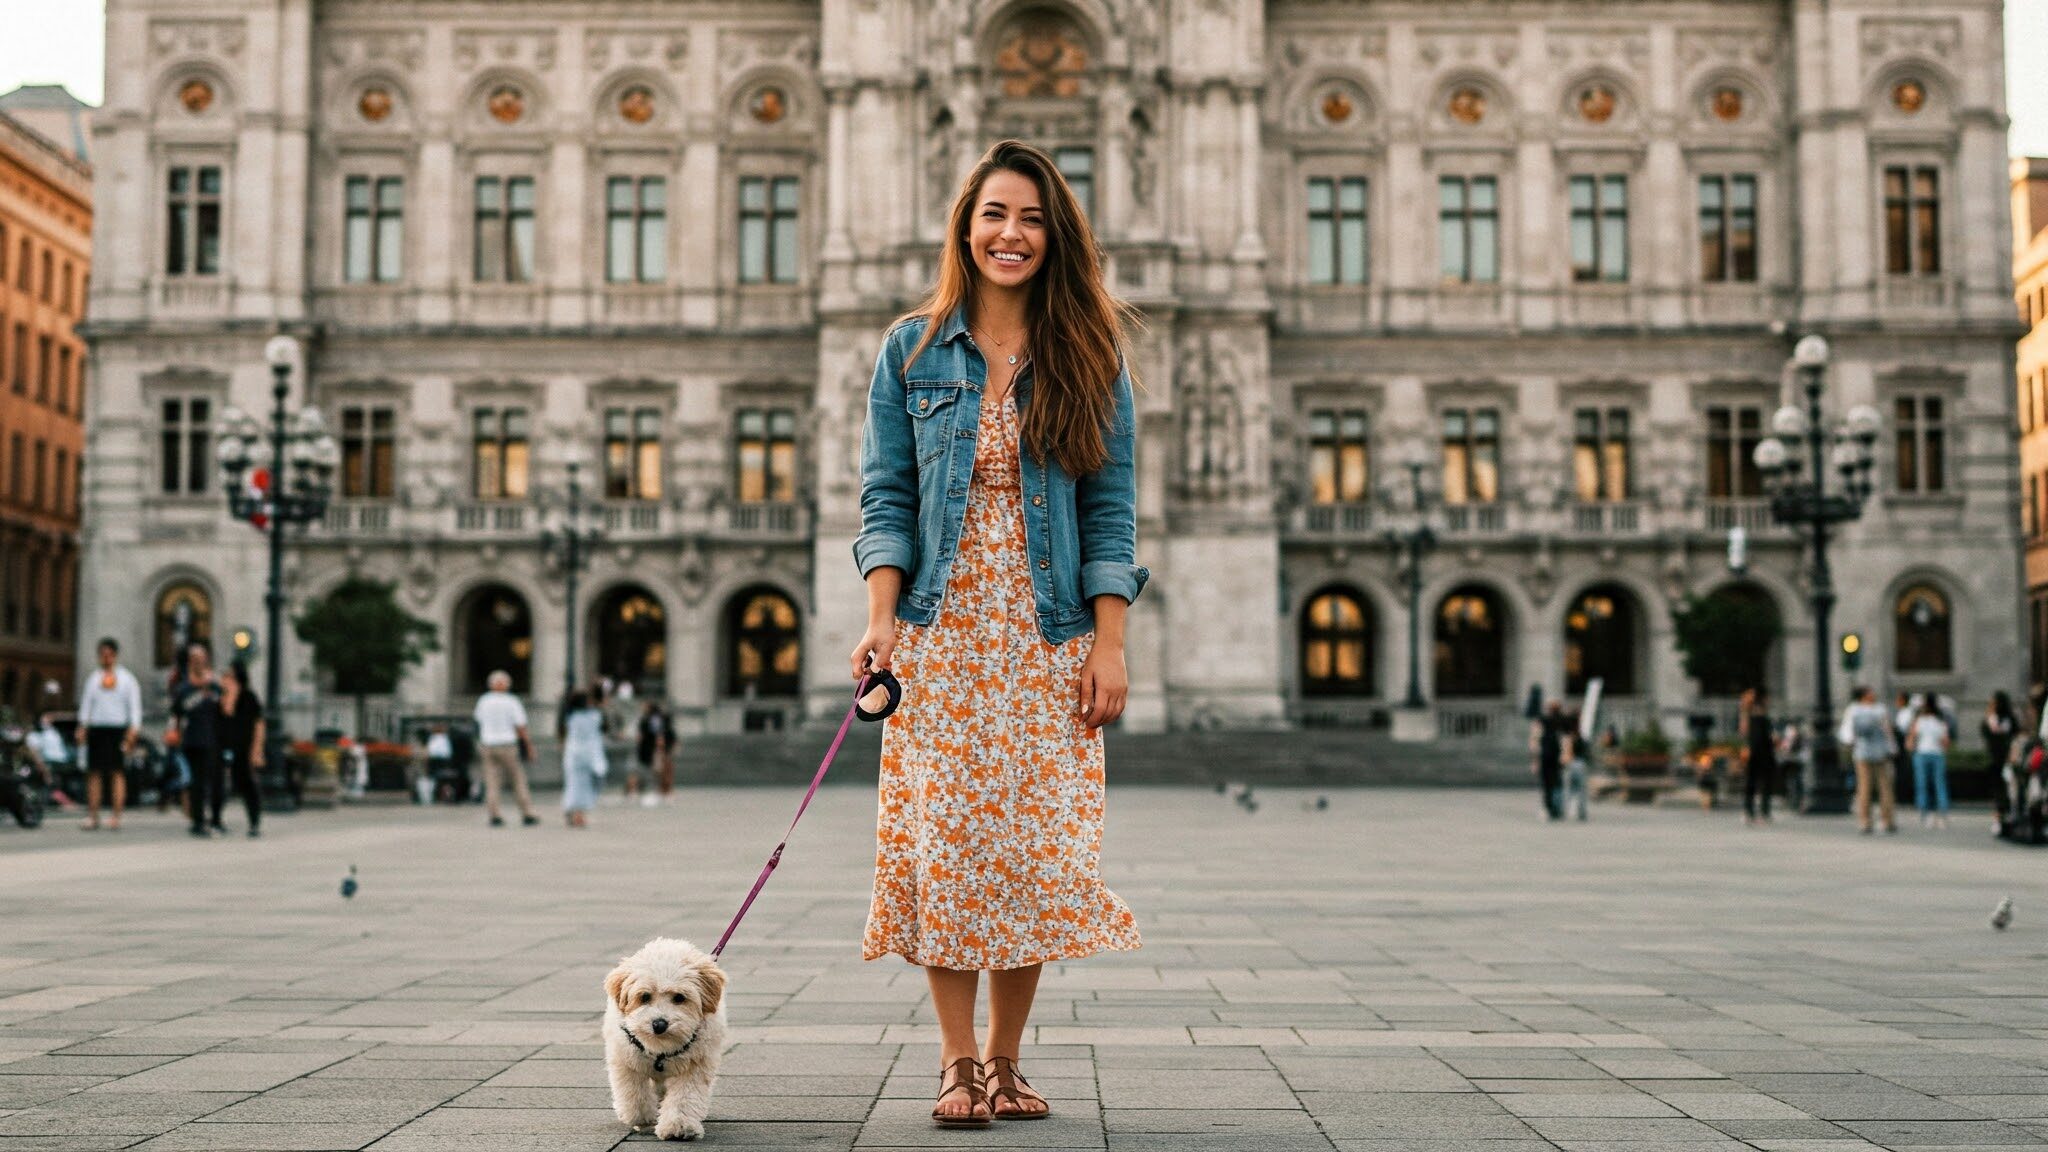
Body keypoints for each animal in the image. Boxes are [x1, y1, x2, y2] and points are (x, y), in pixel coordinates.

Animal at [598, 938, 729, 1131]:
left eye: (679, 997)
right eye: (645, 997)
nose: (659, 1024)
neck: (660, 1048)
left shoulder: (695, 1065)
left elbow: (684, 1097)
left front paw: (678, 1126)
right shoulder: (626, 1061)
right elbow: (634, 1092)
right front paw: (640, 1117)